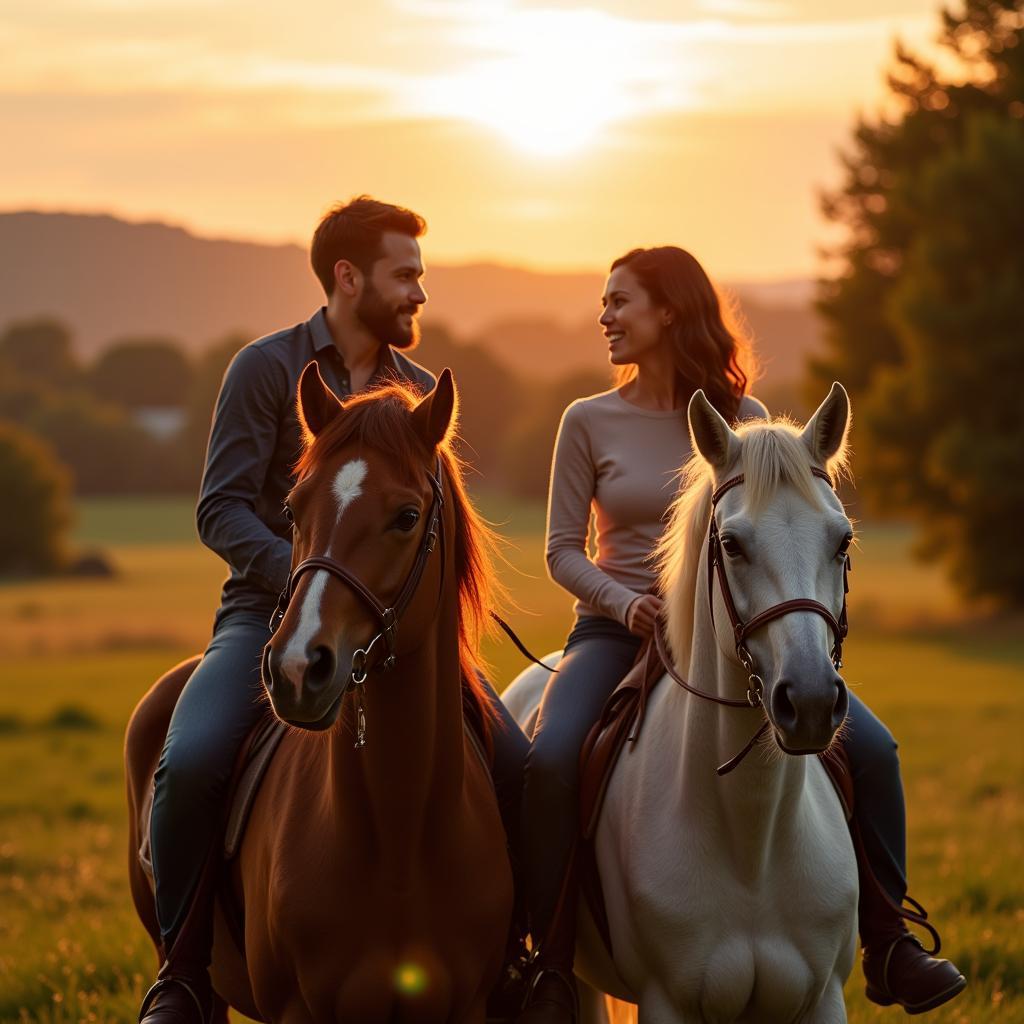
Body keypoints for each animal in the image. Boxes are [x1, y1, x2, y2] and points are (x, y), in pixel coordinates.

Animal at [124, 368, 516, 1024]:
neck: (398, 838)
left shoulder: (467, 1008)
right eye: (292, 506)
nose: (297, 667)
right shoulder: (298, 1011)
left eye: (407, 516)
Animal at [507, 385, 860, 1024]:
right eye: (731, 545)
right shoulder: (667, 1001)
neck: (751, 843)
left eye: (841, 540)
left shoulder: (823, 999)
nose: (812, 700)